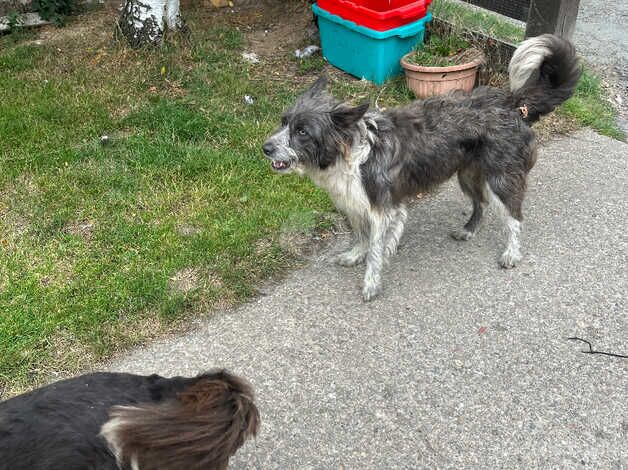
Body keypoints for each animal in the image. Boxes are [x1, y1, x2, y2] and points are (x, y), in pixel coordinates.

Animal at [260, 35, 580, 302]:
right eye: (284, 121)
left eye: (302, 132)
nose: (266, 148)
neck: (349, 152)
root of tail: (511, 103)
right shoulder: (355, 204)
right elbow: (361, 237)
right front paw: (354, 256)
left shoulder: (385, 210)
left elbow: (375, 251)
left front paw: (370, 284)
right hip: (467, 175)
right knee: (481, 203)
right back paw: (468, 231)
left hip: (500, 178)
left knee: (514, 217)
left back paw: (511, 254)